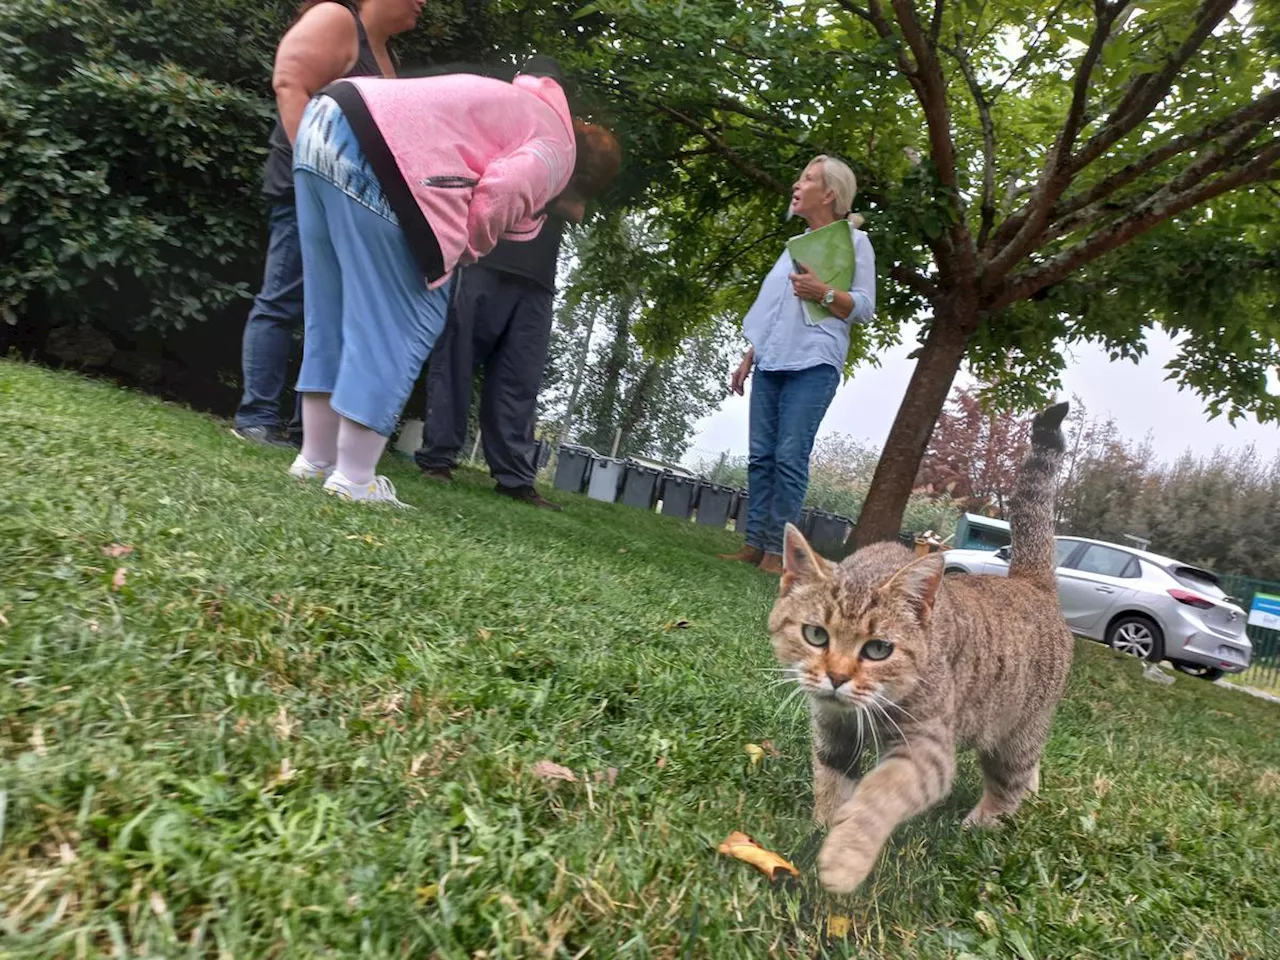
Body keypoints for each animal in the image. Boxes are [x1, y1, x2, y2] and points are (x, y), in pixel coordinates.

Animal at [773, 399, 1075, 896]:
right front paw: (825, 826)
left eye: (878, 649)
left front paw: (843, 856)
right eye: (816, 635)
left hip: (1015, 733)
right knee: (1031, 770)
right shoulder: (833, 731)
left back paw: (982, 822)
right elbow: (832, 783)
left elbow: (878, 796)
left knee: (1010, 783)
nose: (836, 676)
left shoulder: (926, 750)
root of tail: (1030, 581)